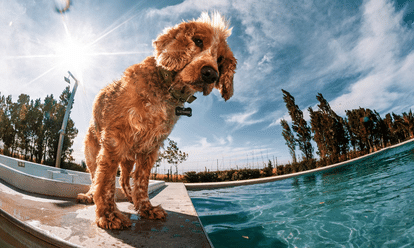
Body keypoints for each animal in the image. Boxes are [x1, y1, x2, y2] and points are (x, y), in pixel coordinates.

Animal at [75, 11, 236, 229]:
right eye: (198, 41)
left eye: (220, 59)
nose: (210, 74)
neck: (166, 90)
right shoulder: (114, 141)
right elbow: (106, 181)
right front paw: (109, 215)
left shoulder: (150, 148)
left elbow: (141, 182)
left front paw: (145, 209)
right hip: (93, 154)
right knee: (94, 178)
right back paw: (89, 196)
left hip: (128, 159)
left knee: (124, 180)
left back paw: (130, 198)